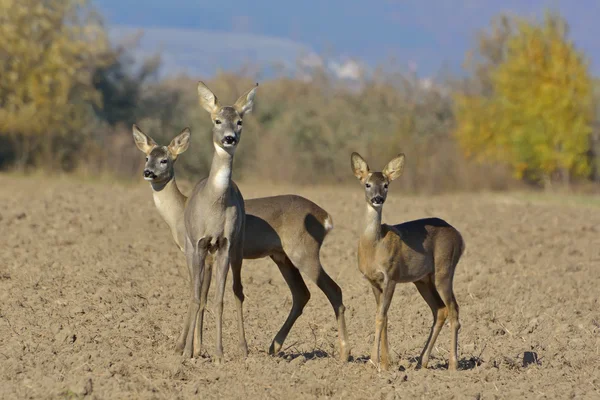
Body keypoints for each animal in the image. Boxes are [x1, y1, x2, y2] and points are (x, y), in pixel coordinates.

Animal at [350, 152, 466, 370]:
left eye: (386, 184)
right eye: (367, 184)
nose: (378, 199)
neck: (374, 245)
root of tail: (460, 238)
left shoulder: (391, 276)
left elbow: (380, 316)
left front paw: (373, 361)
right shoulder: (373, 281)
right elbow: (383, 316)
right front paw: (385, 363)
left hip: (444, 268)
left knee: (454, 309)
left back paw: (453, 364)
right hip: (423, 279)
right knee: (440, 309)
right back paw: (422, 361)